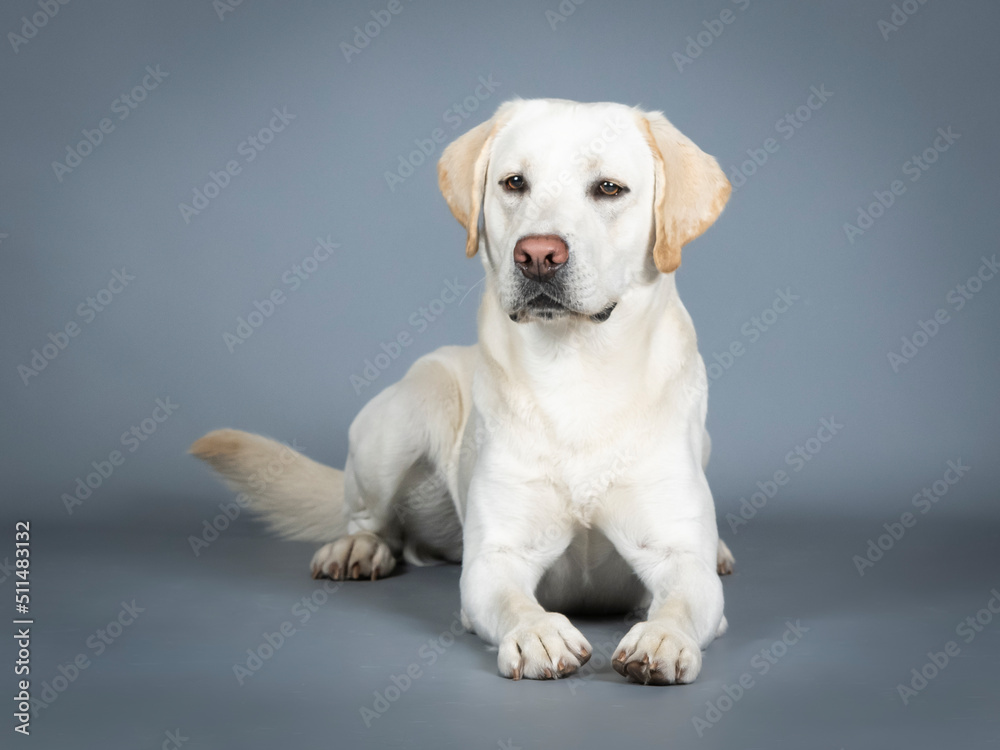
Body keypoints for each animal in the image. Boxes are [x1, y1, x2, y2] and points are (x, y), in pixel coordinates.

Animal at [189, 98, 736, 688]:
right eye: (514, 182)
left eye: (609, 188)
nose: (537, 254)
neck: (576, 371)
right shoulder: (494, 558)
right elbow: (513, 599)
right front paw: (538, 633)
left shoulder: (677, 555)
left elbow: (683, 597)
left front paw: (663, 637)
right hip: (406, 414)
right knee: (369, 516)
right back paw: (358, 547)